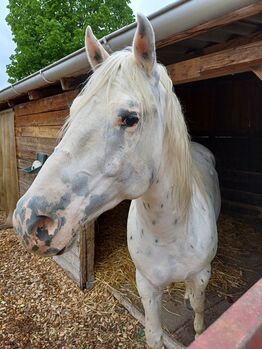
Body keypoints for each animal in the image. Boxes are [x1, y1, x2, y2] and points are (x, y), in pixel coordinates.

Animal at [13, 14, 220, 348]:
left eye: (130, 118)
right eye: (73, 110)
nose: (28, 221)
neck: (170, 233)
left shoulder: (202, 276)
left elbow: (201, 320)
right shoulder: (146, 286)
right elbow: (154, 336)